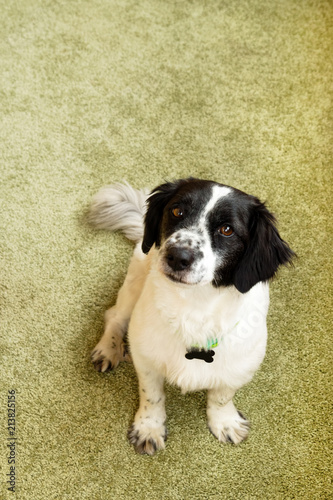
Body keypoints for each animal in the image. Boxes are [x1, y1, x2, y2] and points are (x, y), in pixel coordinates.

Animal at [89, 178, 294, 456]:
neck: (195, 307)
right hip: (134, 283)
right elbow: (152, 395)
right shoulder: (146, 357)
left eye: (227, 229)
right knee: (115, 317)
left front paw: (225, 422)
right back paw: (108, 349)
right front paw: (149, 428)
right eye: (177, 211)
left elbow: (222, 396)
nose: (178, 256)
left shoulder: (240, 365)